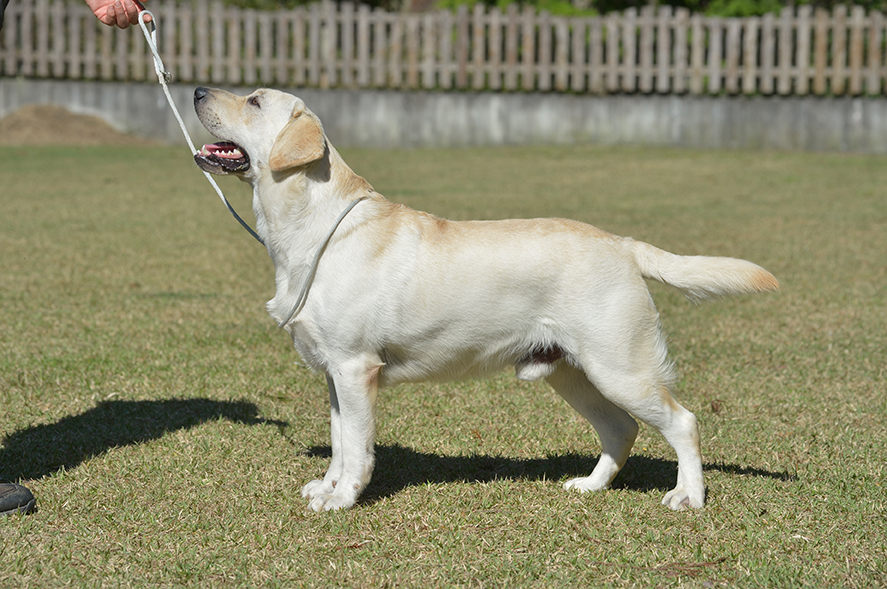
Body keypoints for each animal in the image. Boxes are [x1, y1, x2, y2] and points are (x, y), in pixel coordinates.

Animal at [194, 86, 776, 510]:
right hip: (573, 371)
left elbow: (356, 449)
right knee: (620, 428)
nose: (197, 89)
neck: (312, 230)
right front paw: (327, 487)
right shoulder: (335, 373)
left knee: (683, 422)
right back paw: (589, 487)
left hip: (620, 366)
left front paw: (342, 501)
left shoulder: (356, 368)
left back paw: (688, 497)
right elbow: (340, 443)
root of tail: (623, 244)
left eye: (254, 101)